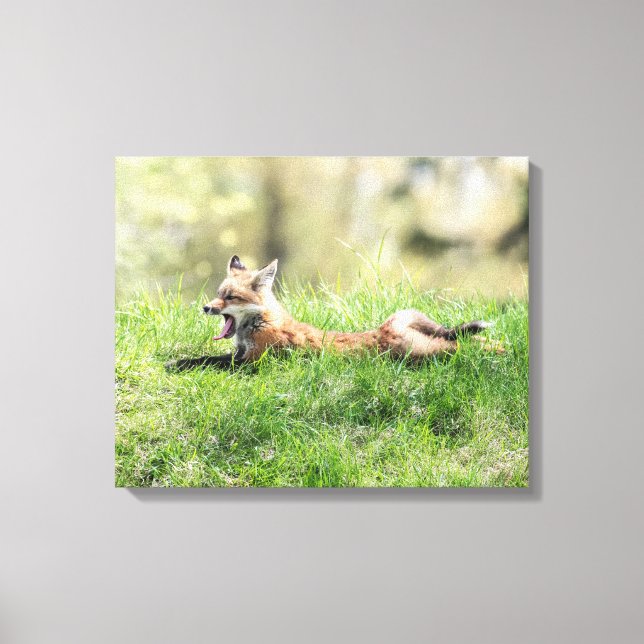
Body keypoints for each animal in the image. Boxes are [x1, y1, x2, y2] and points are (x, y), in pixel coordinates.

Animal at [166, 255, 503, 371]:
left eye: (230, 297)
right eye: (218, 294)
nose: (206, 307)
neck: (259, 324)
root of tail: (385, 329)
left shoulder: (252, 363)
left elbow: (208, 362)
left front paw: (177, 365)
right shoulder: (238, 355)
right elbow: (203, 357)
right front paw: (177, 361)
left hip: (423, 353)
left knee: (461, 345)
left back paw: (499, 351)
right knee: (463, 339)